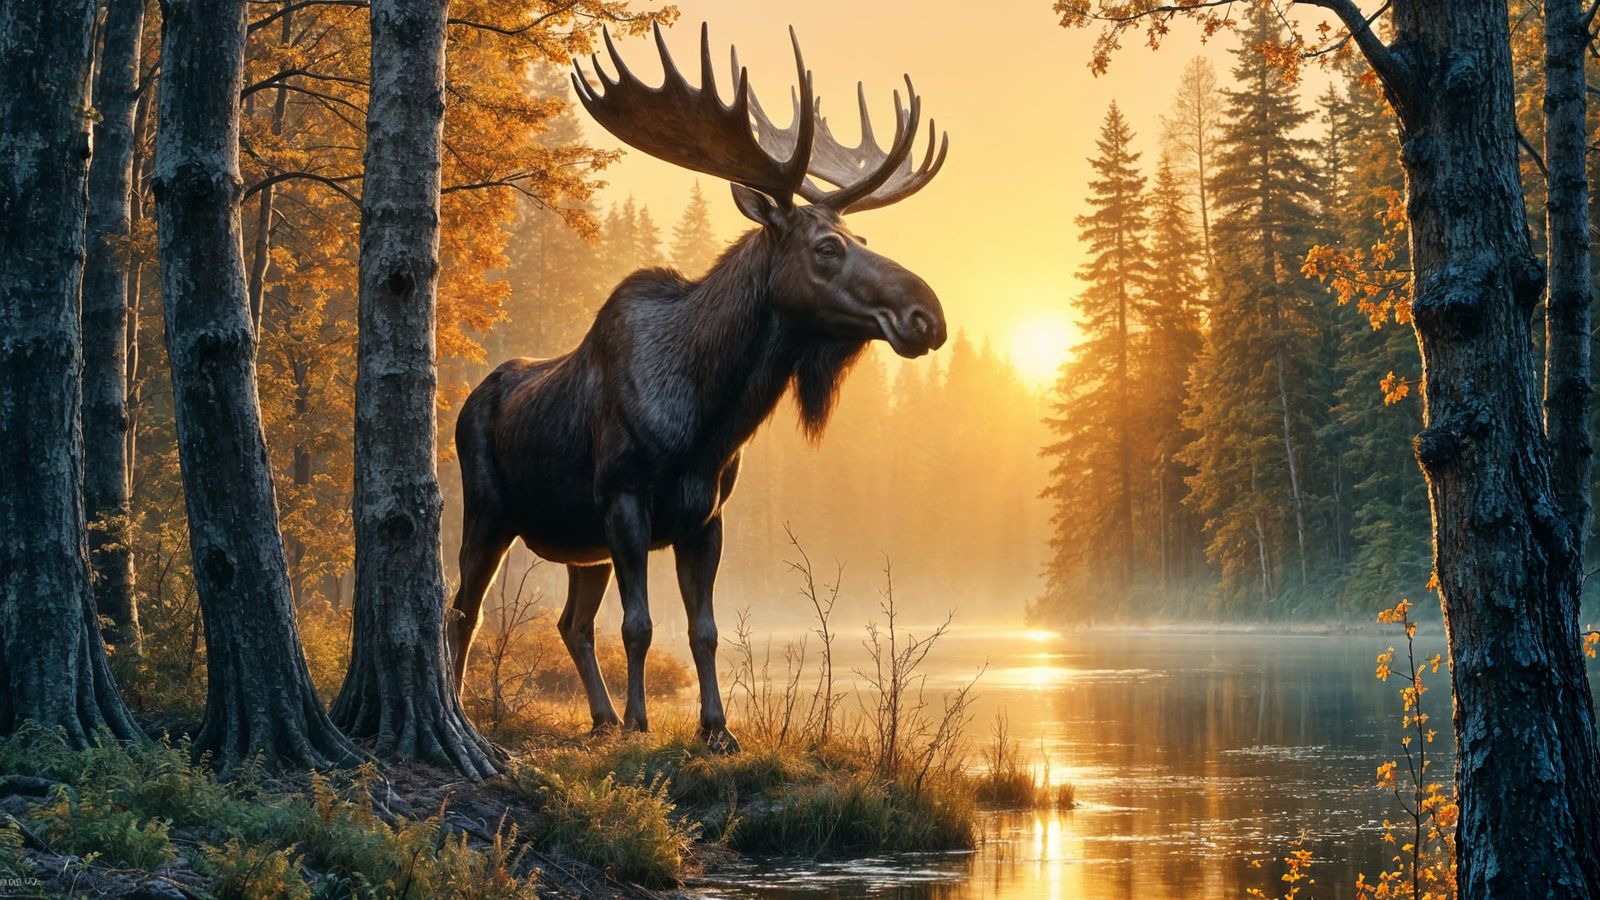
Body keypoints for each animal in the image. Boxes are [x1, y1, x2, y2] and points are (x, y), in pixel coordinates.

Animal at [445, 23, 949, 752]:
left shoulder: (705, 517)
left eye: (858, 233)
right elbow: (639, 626)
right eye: (826, 247)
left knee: (570, 623)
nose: (927, 315)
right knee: (463, 609)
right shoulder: (625, 502)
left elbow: (703, 630)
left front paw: (715, 730)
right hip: (489, 511)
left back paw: (599, 718)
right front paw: (641, 723)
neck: (710, 417)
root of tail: (466, 403)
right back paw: (465, 709)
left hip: (582, 547)